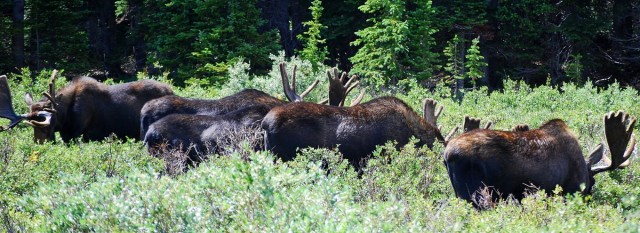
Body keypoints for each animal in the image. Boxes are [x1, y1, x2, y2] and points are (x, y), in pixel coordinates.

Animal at [0, 71, 172, 143]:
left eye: (47, 124)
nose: (40, 143)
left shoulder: (81, 134)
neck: (65, 118)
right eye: (32, 126)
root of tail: (171, 90)